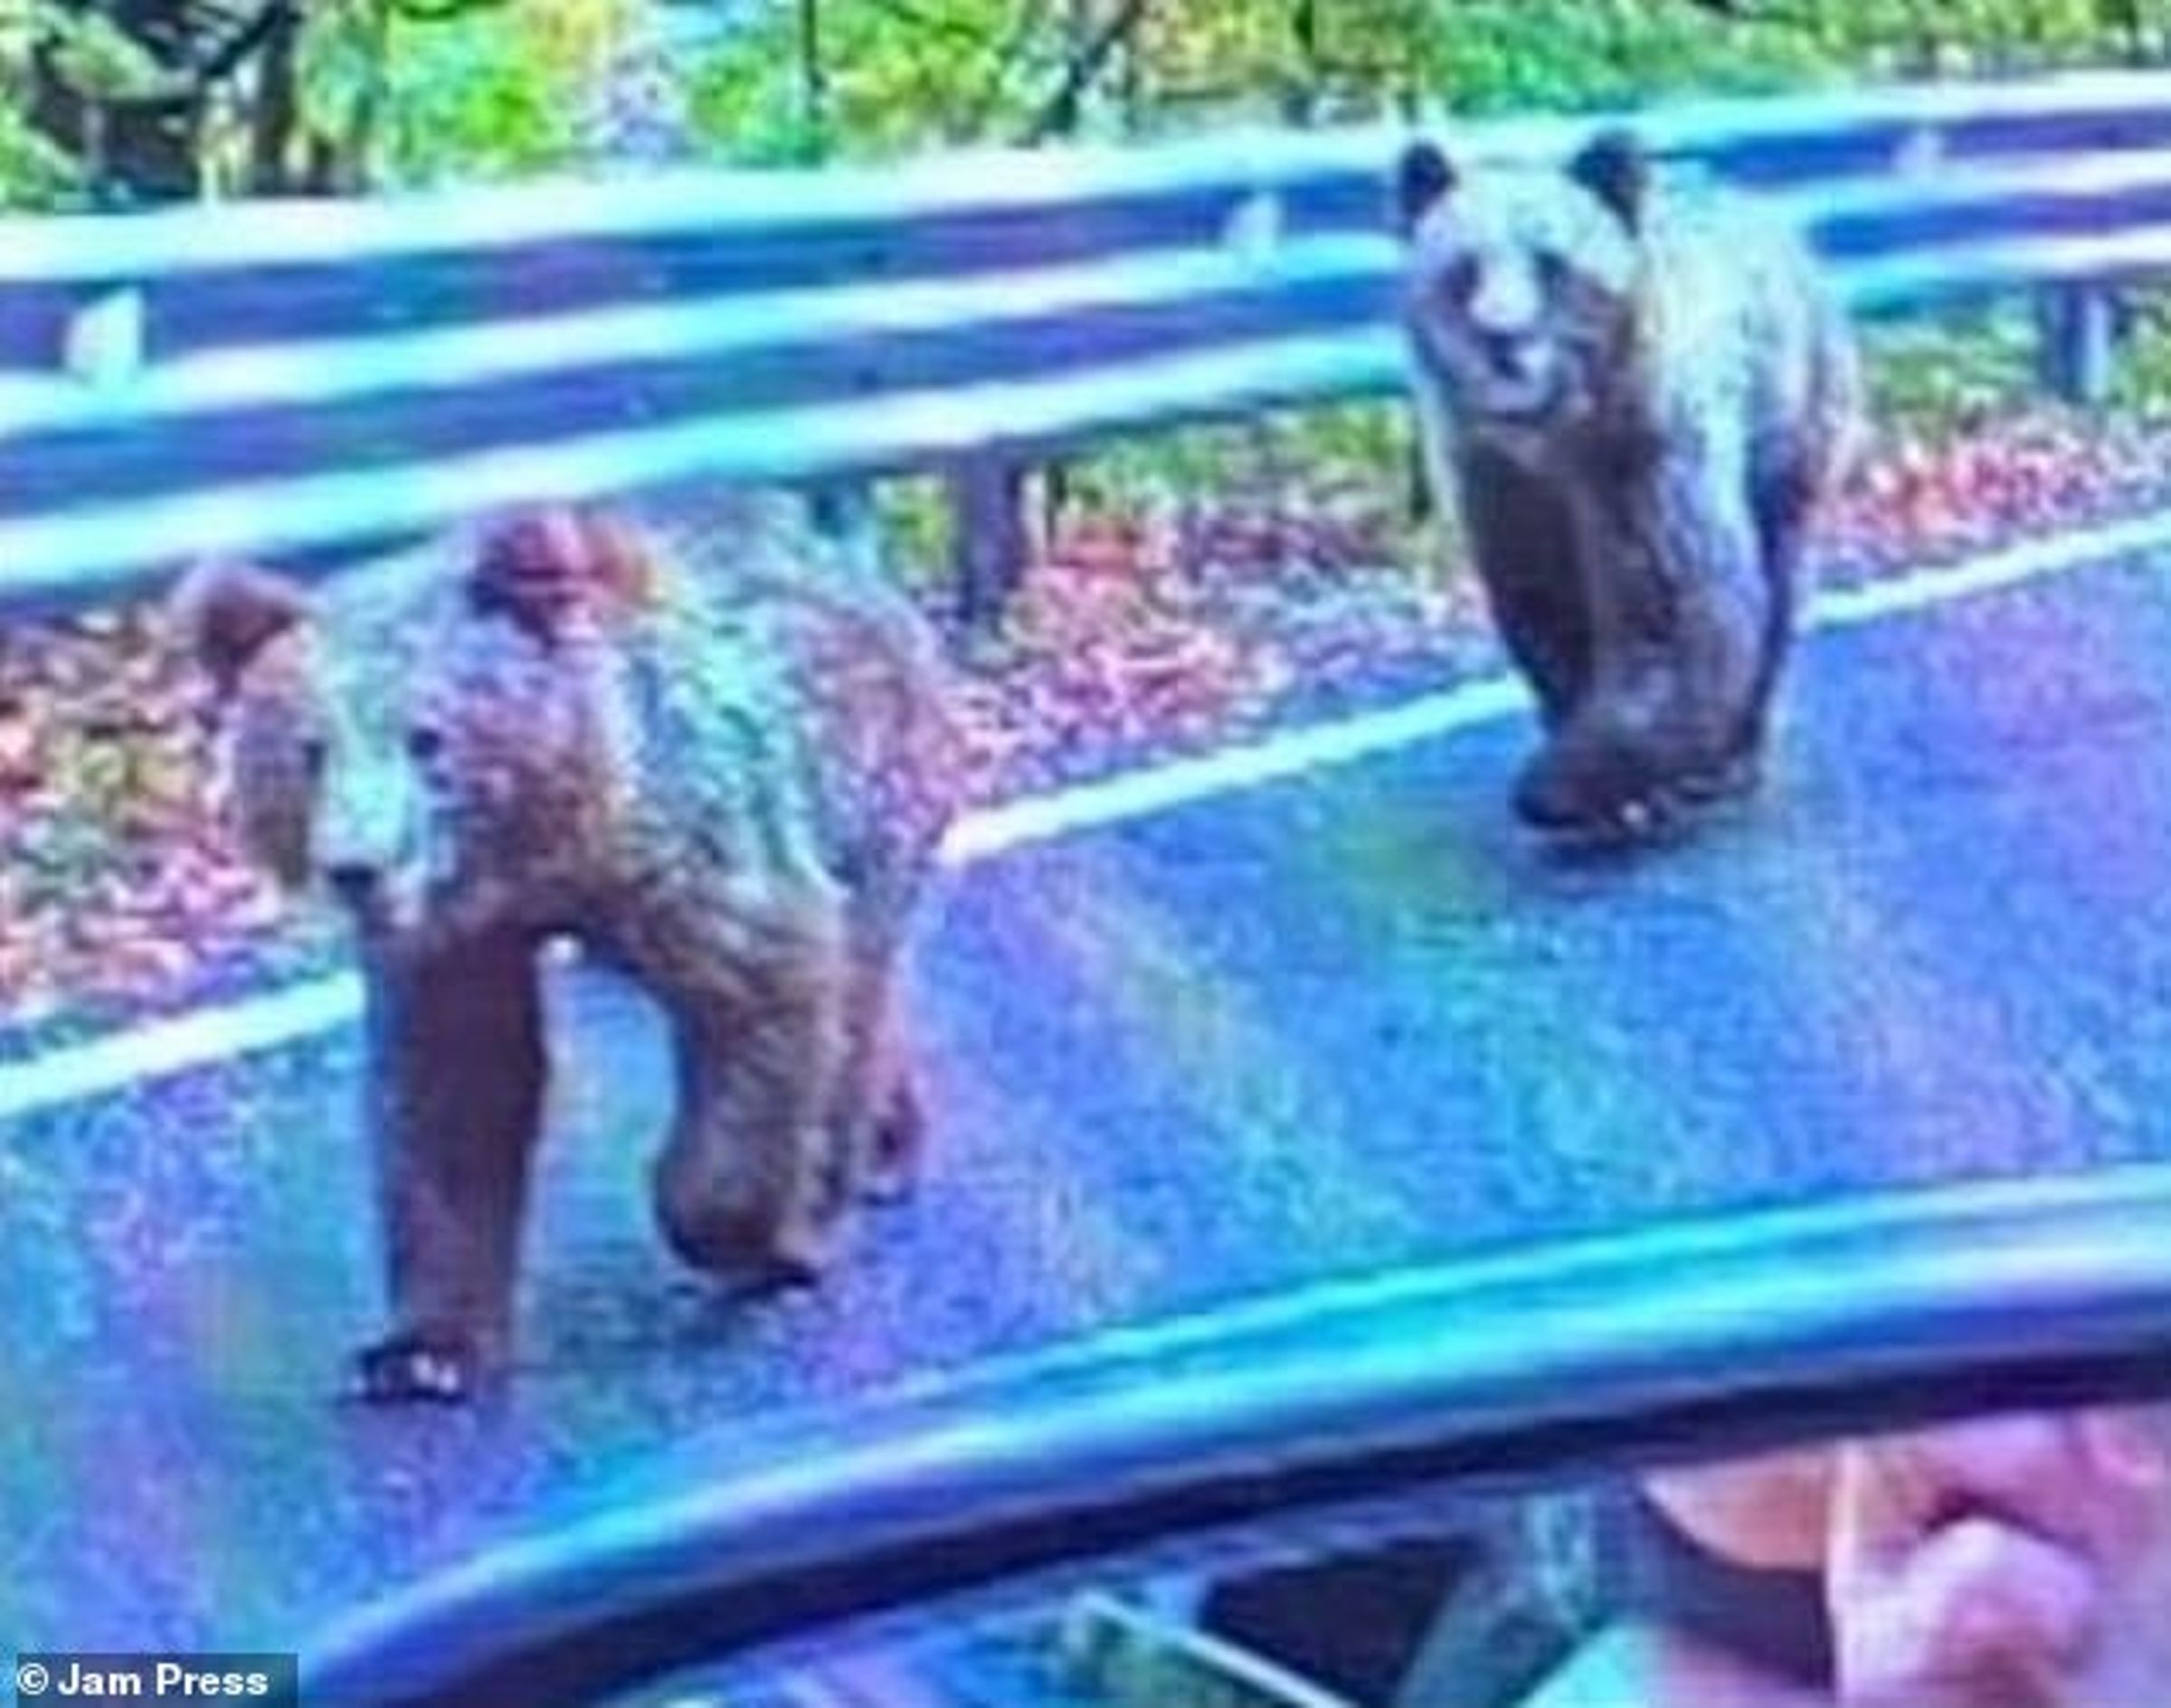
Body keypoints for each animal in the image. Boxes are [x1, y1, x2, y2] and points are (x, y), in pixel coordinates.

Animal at [171, 489, 965, 1403]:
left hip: (867, 797)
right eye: (309, 750)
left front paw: (753, 1238)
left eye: (427, 736)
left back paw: (858, 1169)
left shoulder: (706, 842)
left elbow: (765, 997)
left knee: (857, 997)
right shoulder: (452, 942)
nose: (356, 867)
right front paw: (420, 1351)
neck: (546, 851)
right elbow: (454, 1092)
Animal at [1393, 126, 1863, 838]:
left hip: (1792, 415)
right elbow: (1547, 608)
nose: (1502, 337)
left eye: (1552, 263)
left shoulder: (1644, 454)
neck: (1557, 437)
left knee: (1779, 576)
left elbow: (1675, 615)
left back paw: (1738, 752)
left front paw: (1566, 783)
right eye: (1463, 269)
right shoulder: (1500, 485)